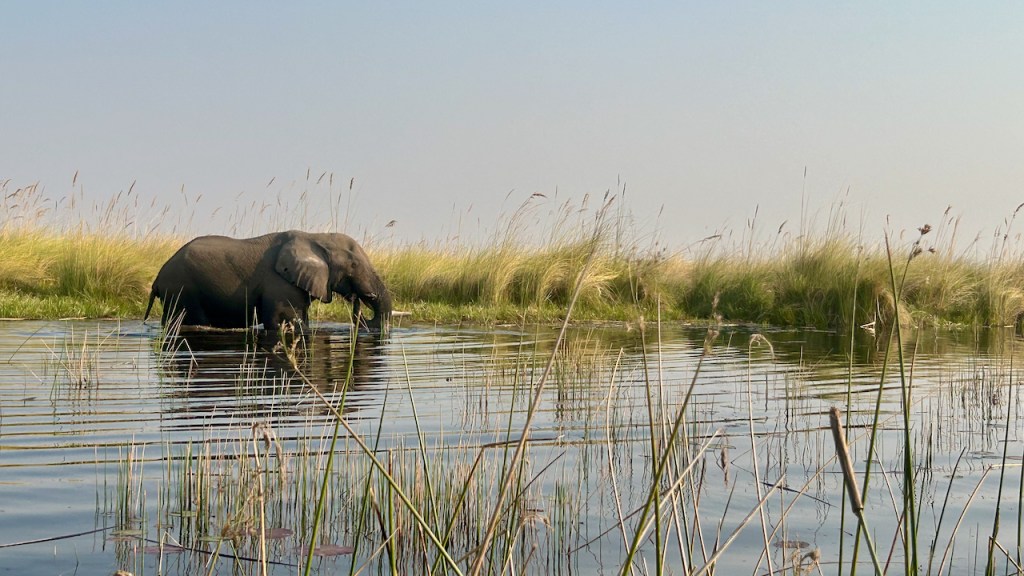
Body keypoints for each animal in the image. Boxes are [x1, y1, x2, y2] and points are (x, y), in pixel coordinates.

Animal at [144, 230, 392, 333]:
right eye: (354, 265)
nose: (357, 303)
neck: (315, 236)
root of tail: (157, 279)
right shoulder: (280, 285)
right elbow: (285, 324)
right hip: (182, 291)